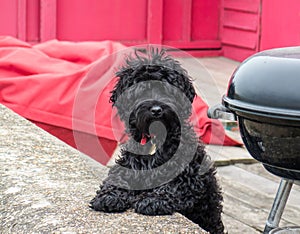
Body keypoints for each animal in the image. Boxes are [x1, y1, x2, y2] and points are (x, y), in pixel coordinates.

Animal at [90, 48, 224, 233]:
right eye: (142, 90)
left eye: (166, 89)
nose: (156, 110)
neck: (156, 138)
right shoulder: (129, 164)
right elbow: (116, 178)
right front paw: (109, 196)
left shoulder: (191, 176)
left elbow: (173, 186)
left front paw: (153, 200)